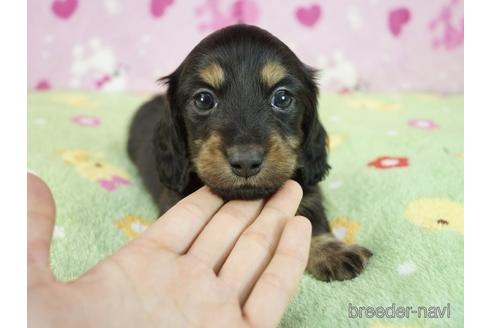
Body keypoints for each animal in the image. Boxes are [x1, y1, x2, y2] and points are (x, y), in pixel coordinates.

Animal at [129, 23, 370, 282]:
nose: (245, 162)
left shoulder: (307, 188)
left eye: (282, 97)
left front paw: (331, 251)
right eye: (203, 99)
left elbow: (311, 216)